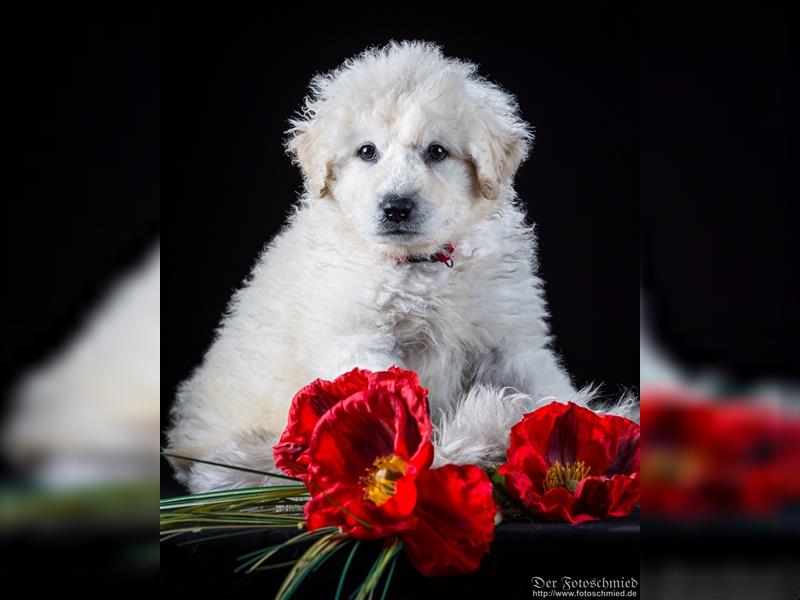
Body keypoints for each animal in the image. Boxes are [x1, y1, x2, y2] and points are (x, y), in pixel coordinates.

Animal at [170, 41, 636, 492]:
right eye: (366, 152)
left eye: (436, 152)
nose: (396, 207)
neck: (421, 265)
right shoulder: (359, 341)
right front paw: (445, 453)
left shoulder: (508, 337)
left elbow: (548, 387)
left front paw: (587, 424)